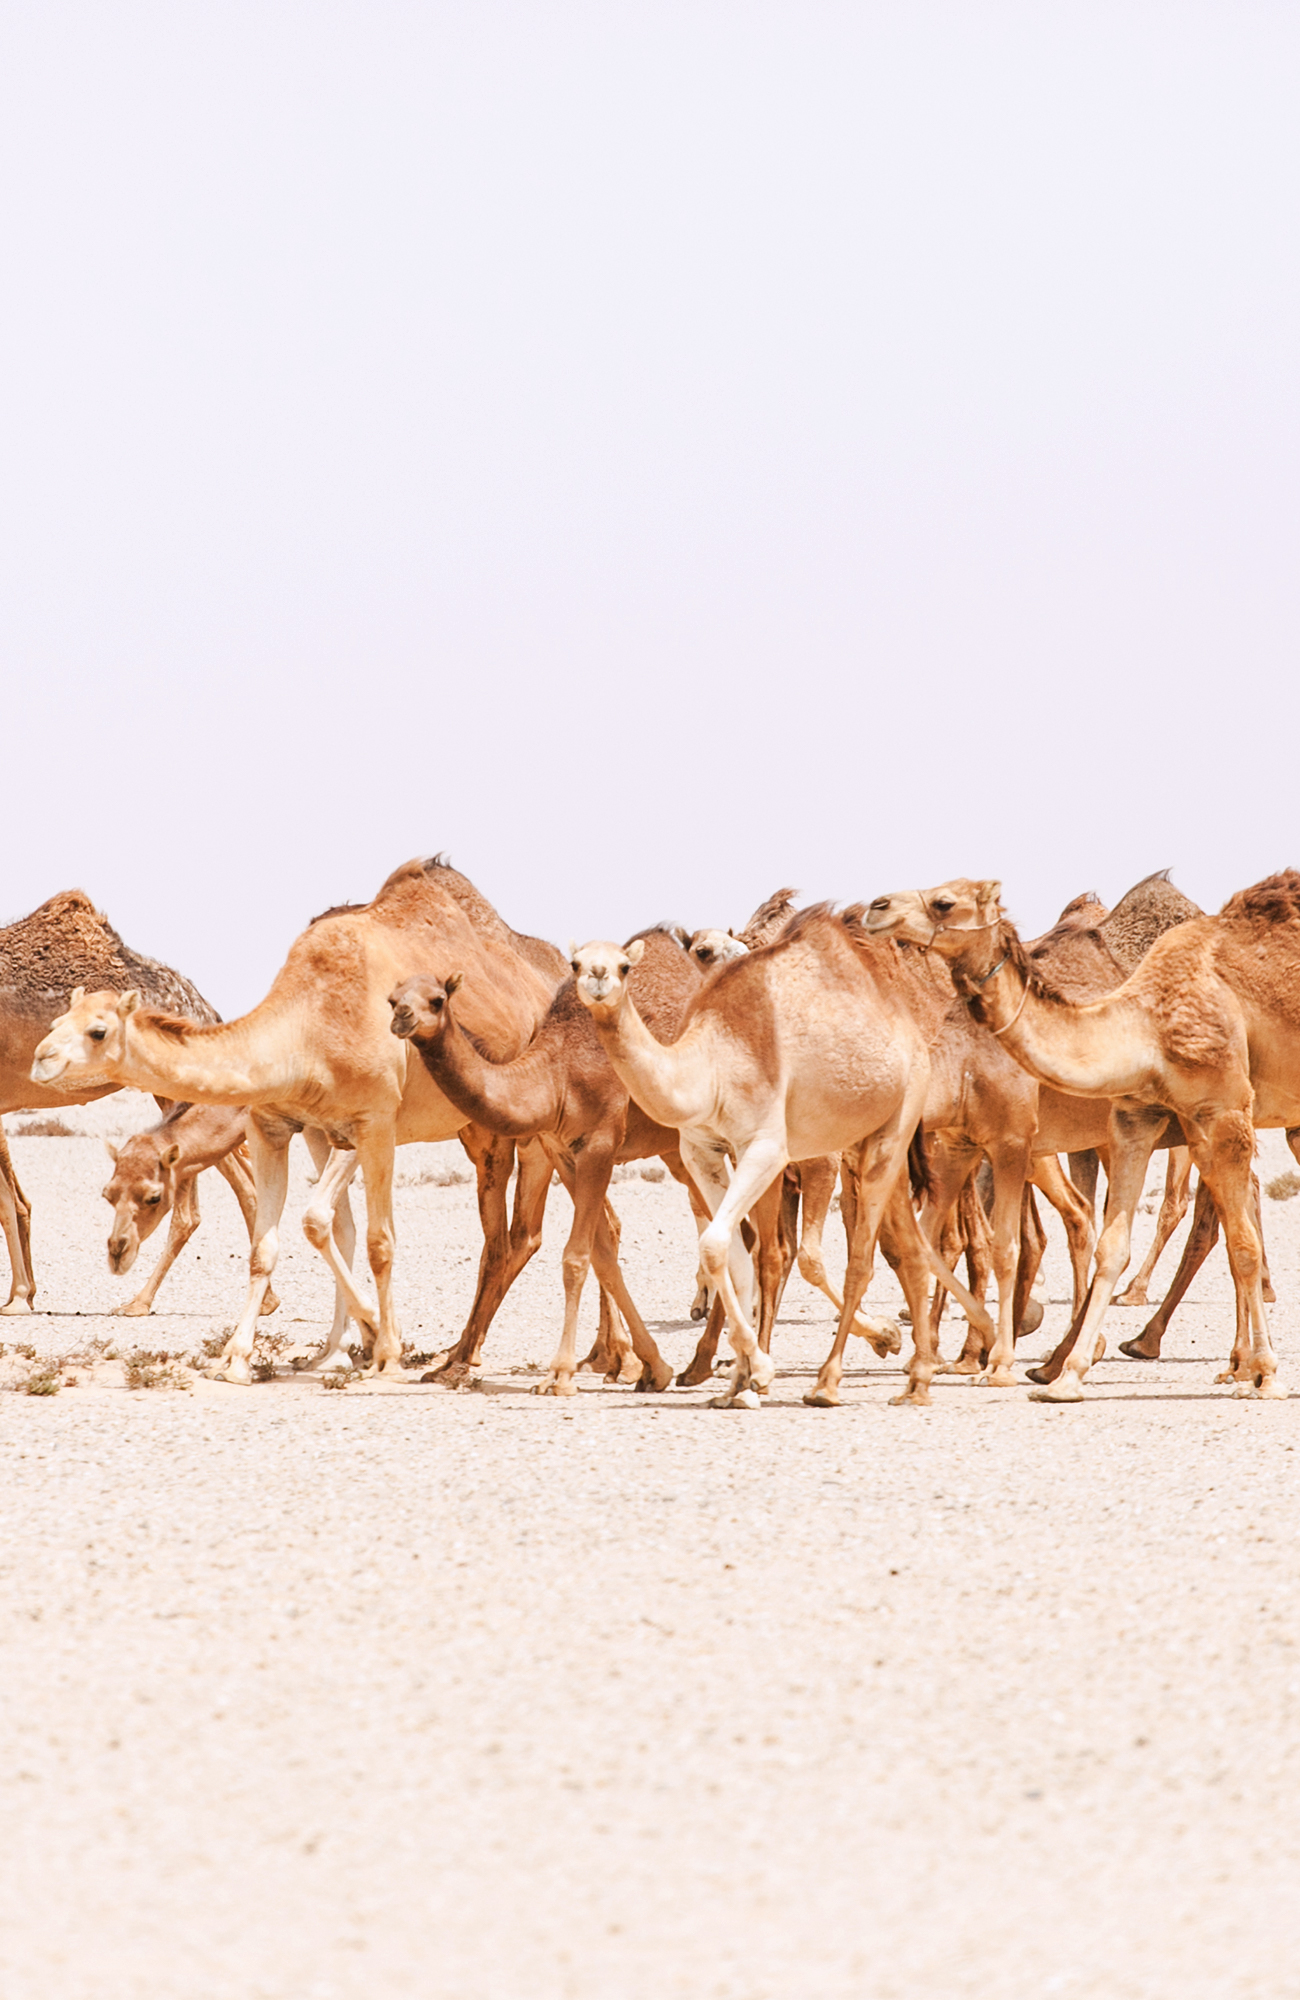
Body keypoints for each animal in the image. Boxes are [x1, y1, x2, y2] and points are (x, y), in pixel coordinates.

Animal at [0, 888, 221, 1311]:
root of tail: (205, 1006)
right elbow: (14, 1200)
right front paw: (26, 1295)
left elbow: (7, 1201)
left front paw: (19, 1299)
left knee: (191, 1209)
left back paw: (138, 1303)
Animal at [32, 857, 563, 1383]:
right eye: (107, 1194)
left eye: (98, 1031)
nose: (41, 1058)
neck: (309, 1029)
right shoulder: (285, 1127)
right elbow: (282, 1242)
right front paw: (248, 1357)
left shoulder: (374, 1123)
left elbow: (372, 1238)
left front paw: (385, 1349)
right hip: (481, 1129)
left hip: (537, 1127)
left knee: (523, 1232)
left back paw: (483, 1359)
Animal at [569, 909, 993, 1407]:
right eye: (576, 963)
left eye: (624, 966)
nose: (598, 977)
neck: (712, 1065)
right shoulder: (701, 1150)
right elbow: (734, 1251)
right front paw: (737, 1380)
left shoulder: (769, 1147)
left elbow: (721, 1244)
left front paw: (759, 1369)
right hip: (872, 1142)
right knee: (910, 1244)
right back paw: (923, 1370)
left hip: (899, 1119)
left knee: (864, 1256)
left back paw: (833, 1380)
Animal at [862, 870, 1300, 1400]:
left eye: (945, 902)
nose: (877, 907)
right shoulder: (1131, 1118)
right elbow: (1105, 1245)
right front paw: (1059, 1374)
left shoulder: (1219, 1110)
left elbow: (1243, 1245)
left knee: (1223, 1216)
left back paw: (1204, 1353)